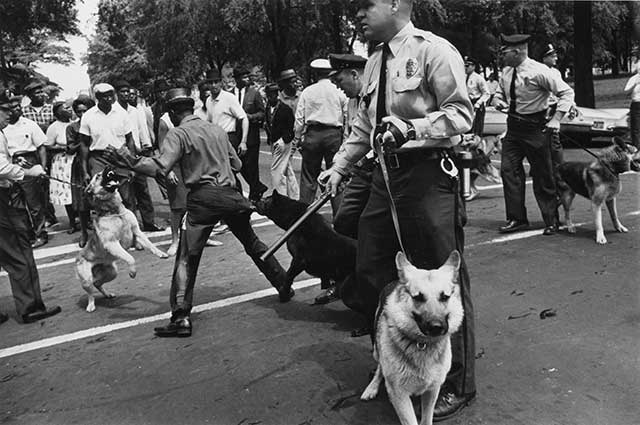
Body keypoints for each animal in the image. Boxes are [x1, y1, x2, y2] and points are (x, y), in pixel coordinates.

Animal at [75, 168, 168, 312]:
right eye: (98, 176)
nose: (108, 167)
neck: (115, 211)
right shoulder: (112, 243)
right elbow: (130, 258)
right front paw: (132, 272)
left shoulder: (137, 232)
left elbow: (151, 245)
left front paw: (161, 253)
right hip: (86, 279)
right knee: (90, 292)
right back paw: (91, 305)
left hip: (112, 272)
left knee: (97, 284)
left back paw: (108, 294)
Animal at [360, 250, 464, 424]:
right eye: (418, 297)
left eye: (444, 297)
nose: (436, 327)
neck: (422, 344)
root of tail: (395, 281)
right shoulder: (399, 396)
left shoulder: (432, 390)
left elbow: (427, 418)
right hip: (376, 351)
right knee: (380, 367)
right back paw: (372, 387)